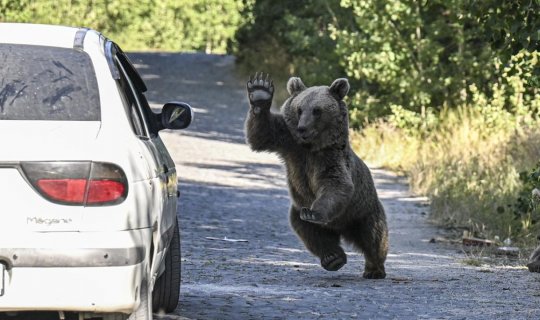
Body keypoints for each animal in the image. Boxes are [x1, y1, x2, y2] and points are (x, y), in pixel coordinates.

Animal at [245, 72, 388, 278]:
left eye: (317, 110)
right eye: (299, 109)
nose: (302, 128)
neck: (311, 147)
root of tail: (341, 228)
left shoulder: (331, 159)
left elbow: (336, 184)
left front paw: (315, 212)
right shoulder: (289, 143)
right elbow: (261, 135)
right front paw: (260, 92)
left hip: (362, 211)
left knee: (374, 236)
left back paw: (374, 269)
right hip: (299, 210)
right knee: (311, 233)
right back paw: (333, 257)